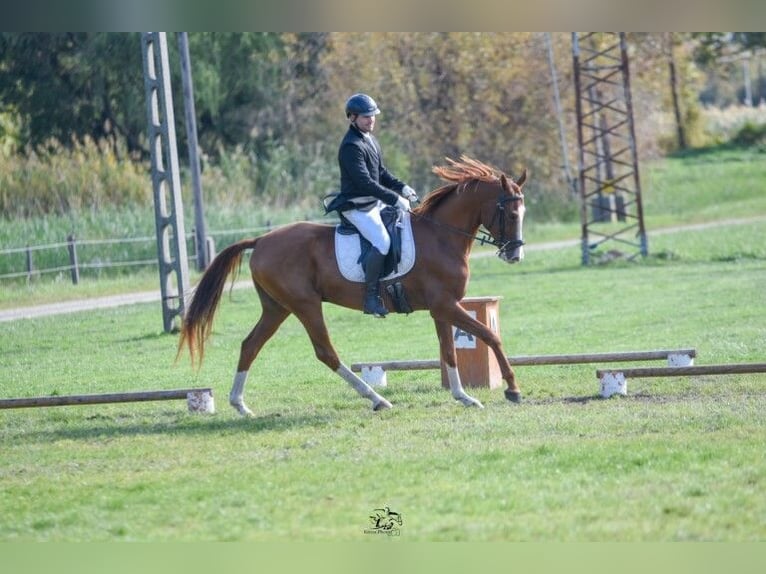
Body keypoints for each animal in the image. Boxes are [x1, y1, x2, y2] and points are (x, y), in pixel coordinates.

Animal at [178, 158, 528, 416]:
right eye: (511, 213)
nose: (515, 254)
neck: (441, 235)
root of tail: (261, 240)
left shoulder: (442, 308)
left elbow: (448, 351)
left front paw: (463, 396)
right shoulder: (445, 305)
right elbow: (489, 335)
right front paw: (512, 388)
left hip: (277, 308)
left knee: (250, 345)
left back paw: (240, 405)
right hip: (305, 305)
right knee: (326, 352)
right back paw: (377, 399)